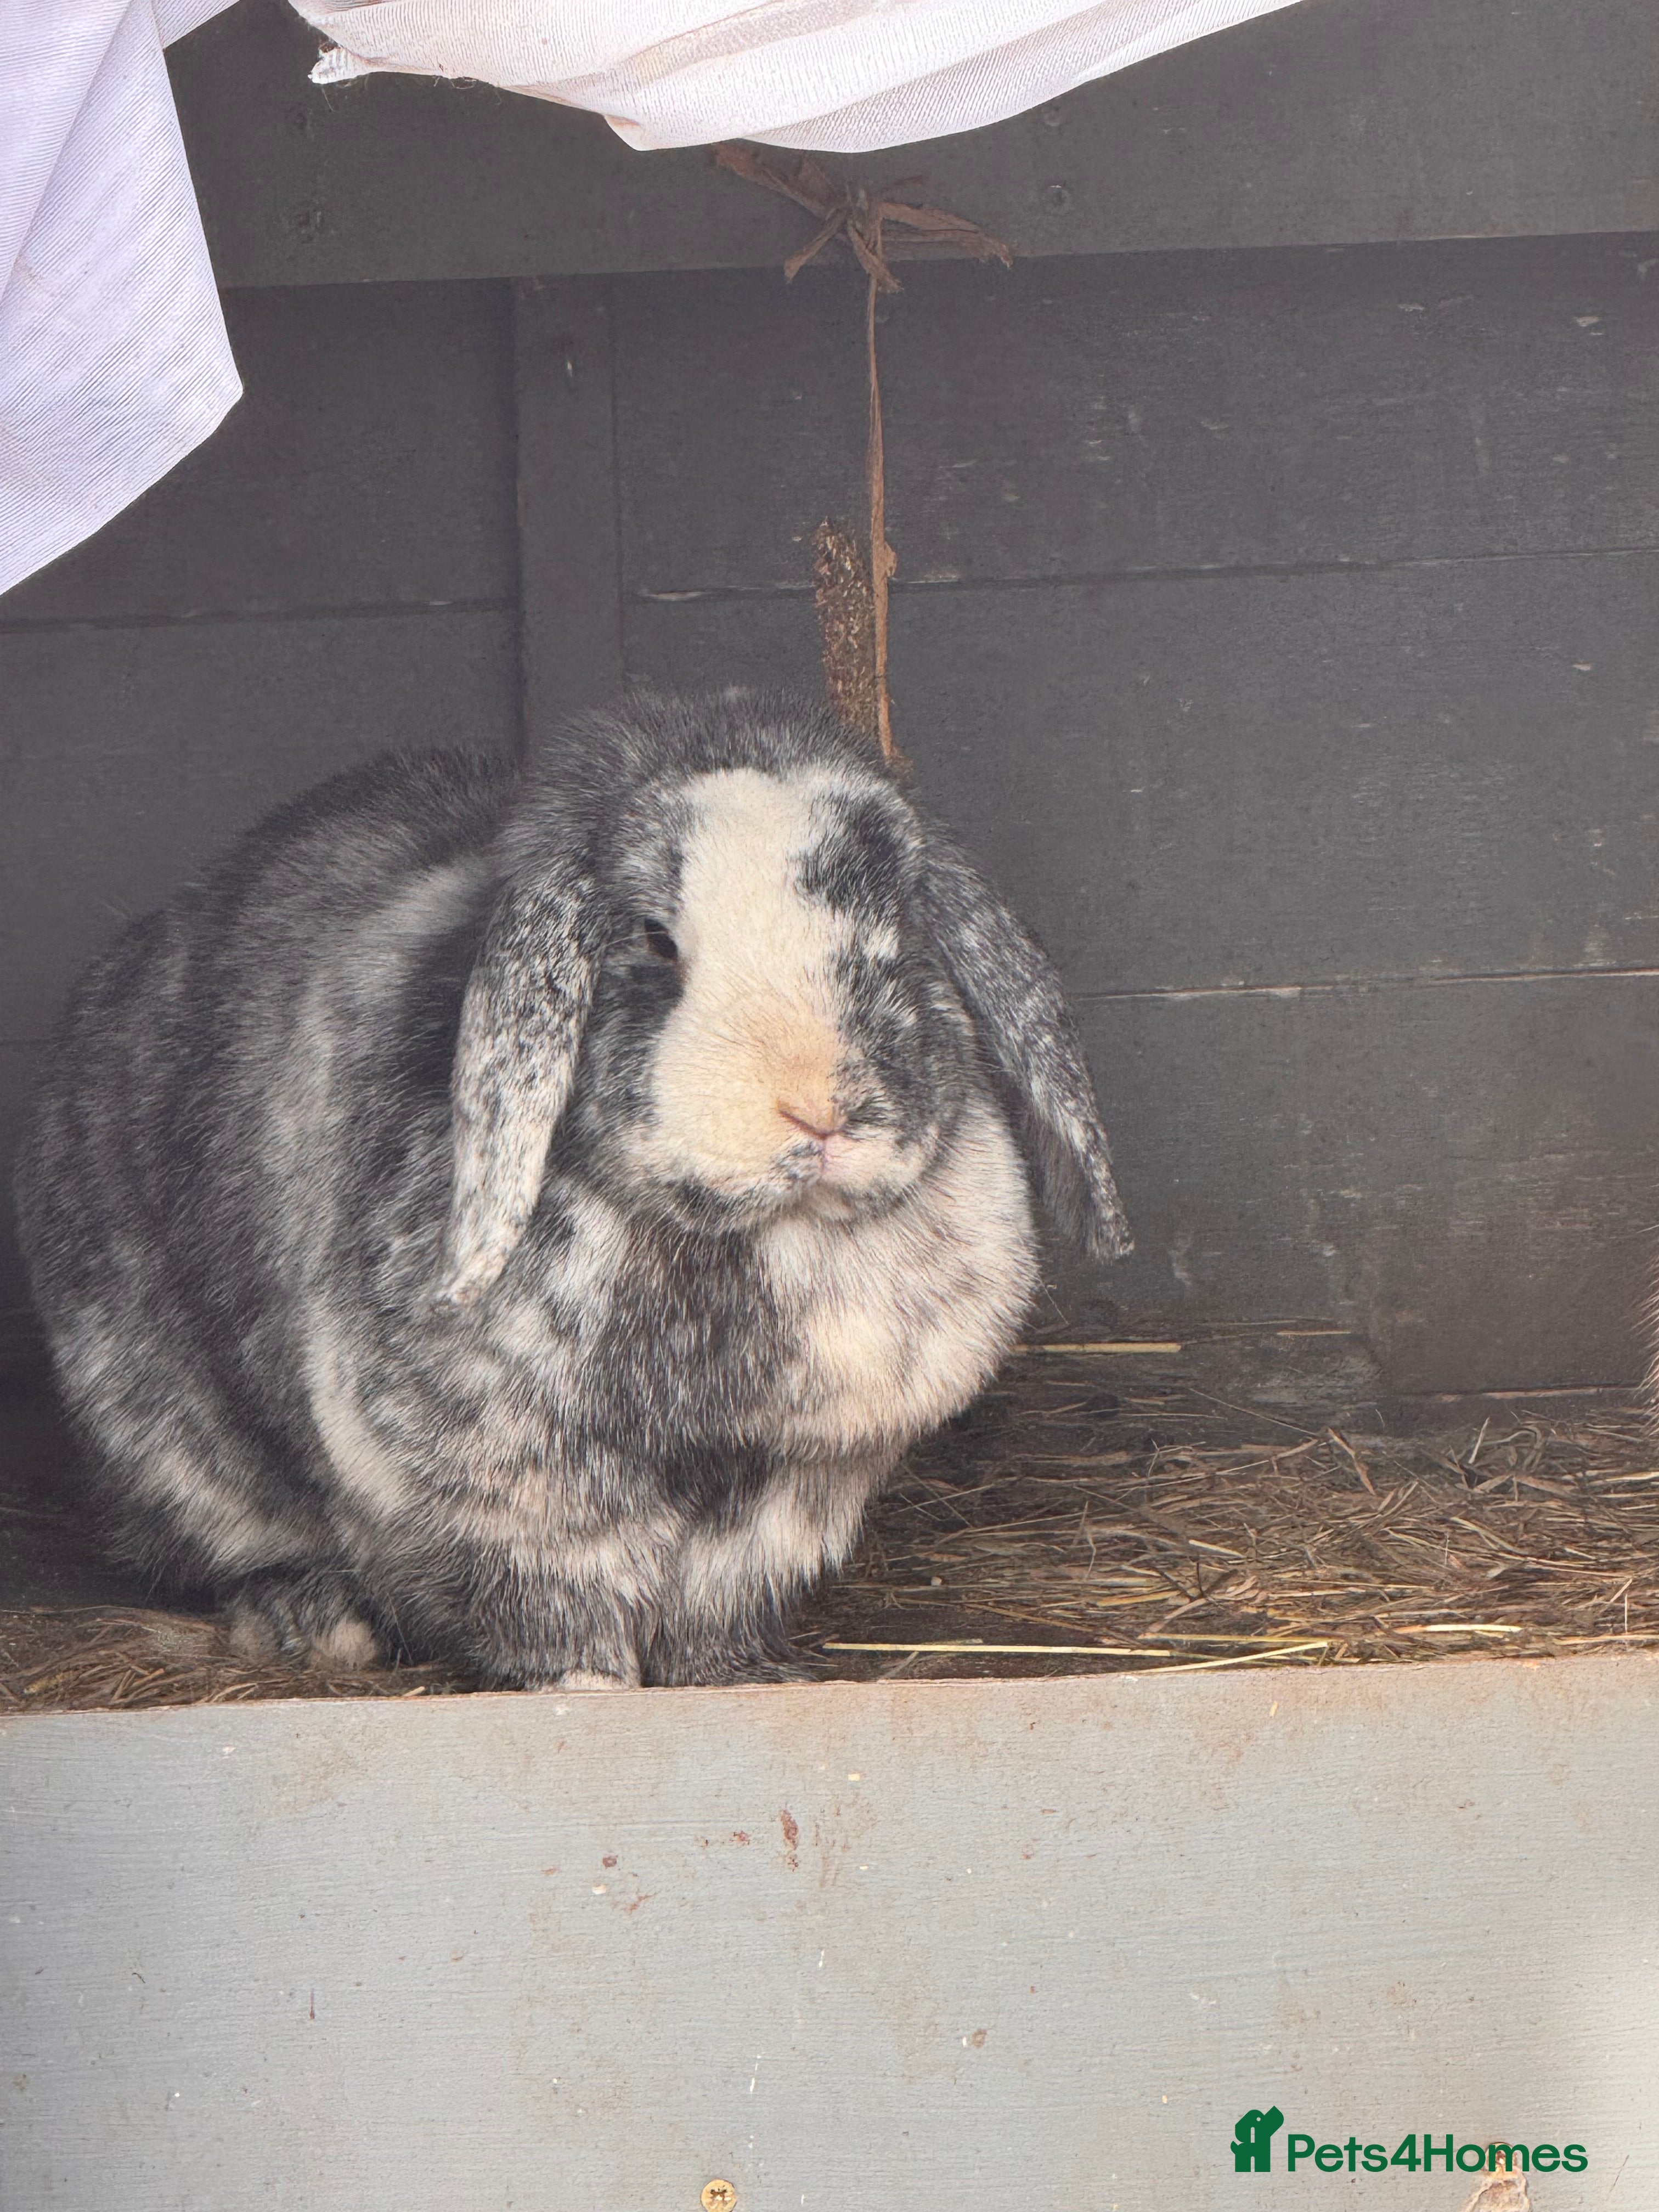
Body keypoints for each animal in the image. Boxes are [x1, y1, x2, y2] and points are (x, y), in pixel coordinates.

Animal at [16, 688, 1129, 1688]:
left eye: (899, 927)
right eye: (654, 940)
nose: (817, 1107)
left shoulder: (786, 1499)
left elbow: (716, 1606)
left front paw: (734, 1678)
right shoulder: (506, 1495)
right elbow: (556, 1610)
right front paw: (585, 1689)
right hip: (160, 1427)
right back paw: (308, 1621)